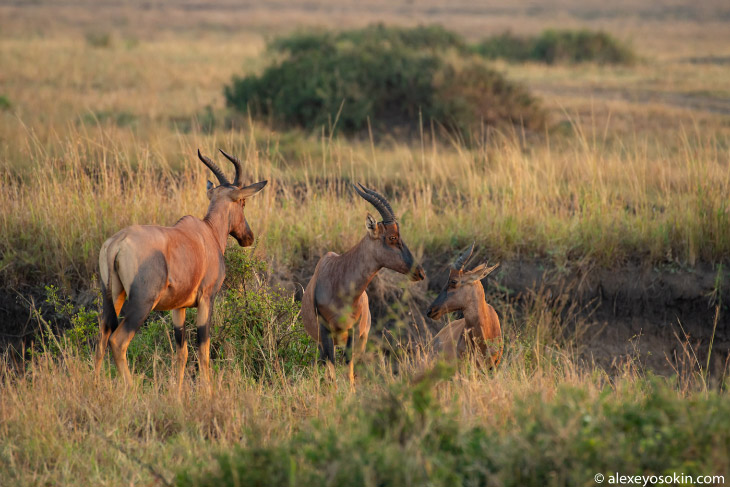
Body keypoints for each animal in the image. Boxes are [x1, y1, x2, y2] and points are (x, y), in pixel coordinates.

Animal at [95, 150, 268, 396]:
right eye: (242, 202)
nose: (248, 237)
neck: (207, 233)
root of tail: (117, 243)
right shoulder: (206, 299)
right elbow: (203, 349)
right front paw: (208, 392)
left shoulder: (179, 307)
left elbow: (181, 352)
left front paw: (176, 393)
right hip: (142, 304)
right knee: (117, 341)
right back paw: (132, 390)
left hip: (112, 296)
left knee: (101, 337)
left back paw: (93, 384)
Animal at [302, 184, 426, 388]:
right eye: (392, 237)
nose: (420, 273)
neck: (338, 278)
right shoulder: (325, 330)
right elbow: (332, 369)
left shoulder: (353, 330)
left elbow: (348, 368)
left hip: (361, 339)